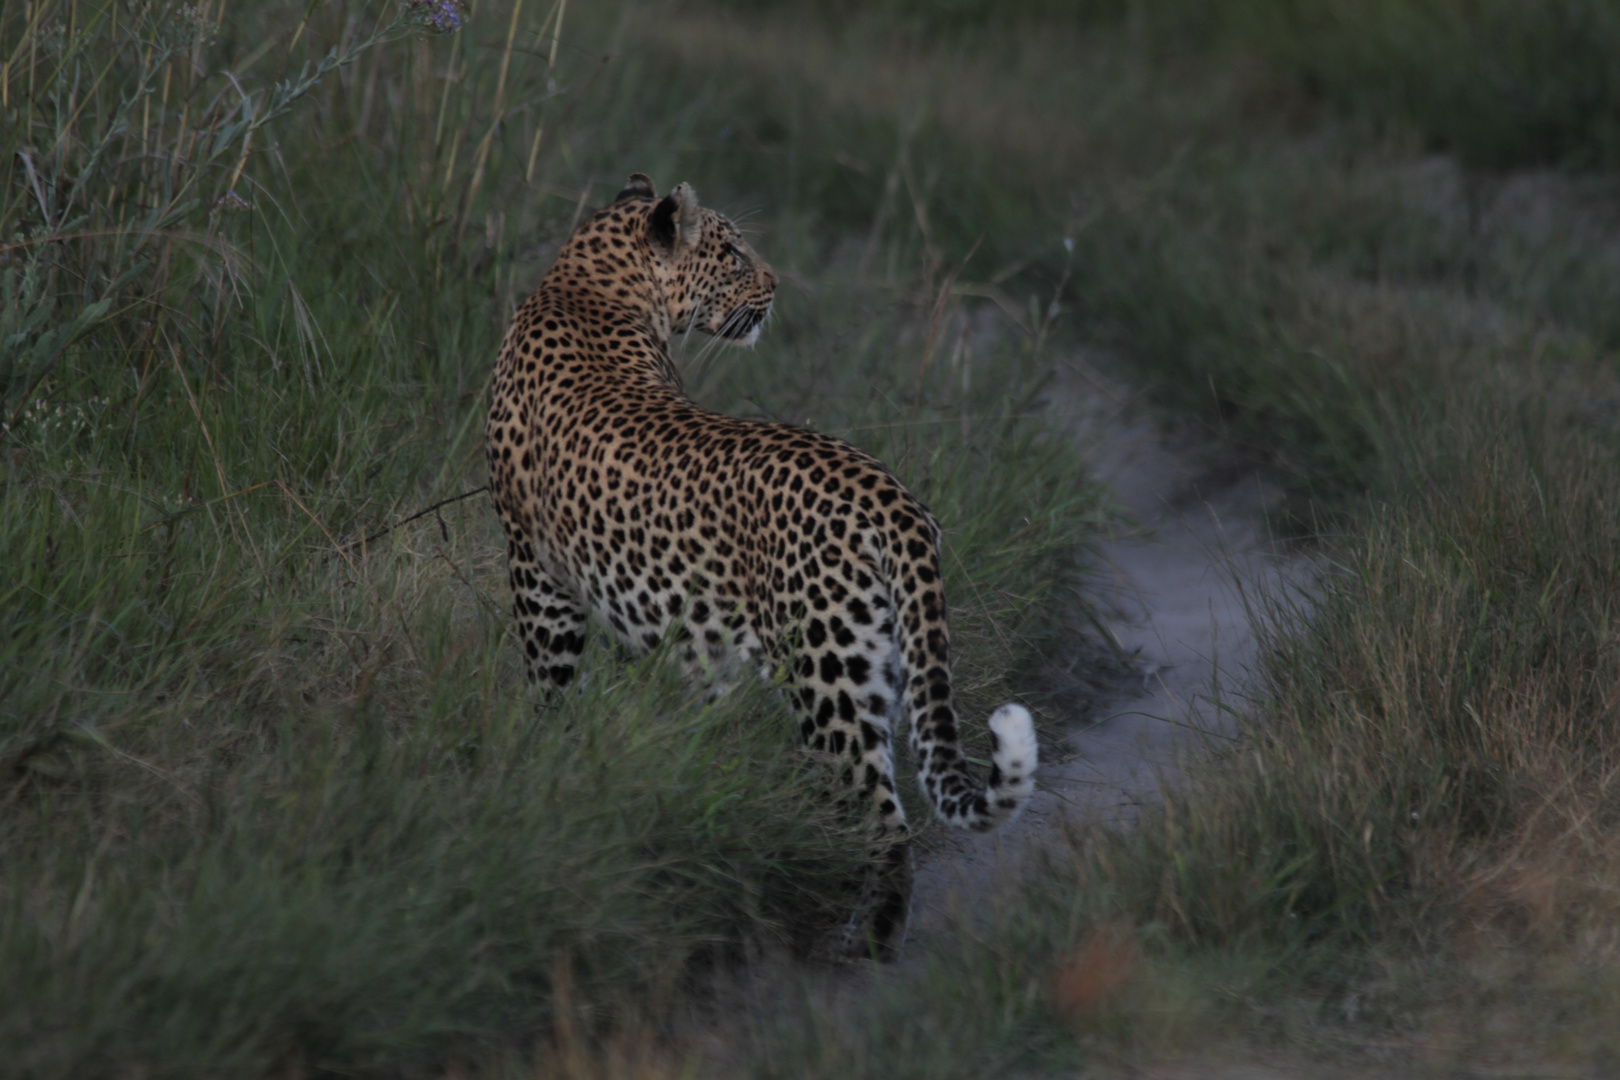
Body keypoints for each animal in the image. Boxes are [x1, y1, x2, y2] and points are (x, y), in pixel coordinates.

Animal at [482, 173, 1036, 958]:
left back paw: (868, 938)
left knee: (885, 816)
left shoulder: (537, 571)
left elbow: (549, 686)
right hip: (878, 662)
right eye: (736, 253)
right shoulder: (686, 638)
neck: (587, 284)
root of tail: (889, 493)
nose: (775, 283)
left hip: (828, 677)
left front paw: (545, 764)